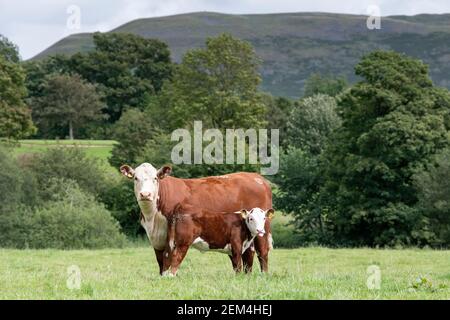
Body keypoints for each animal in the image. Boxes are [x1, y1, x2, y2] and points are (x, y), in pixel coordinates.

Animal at [119, 164, 272, 274]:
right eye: (135, 178)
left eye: (155, 178)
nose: (145, 194)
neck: (153, 219)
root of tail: (257, 177)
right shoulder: (156, 239)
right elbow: (161, 262)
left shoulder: (169, 237)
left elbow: (168, 259)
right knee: (249, 255)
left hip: (262, 230)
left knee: (262, 252)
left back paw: (263, 275)